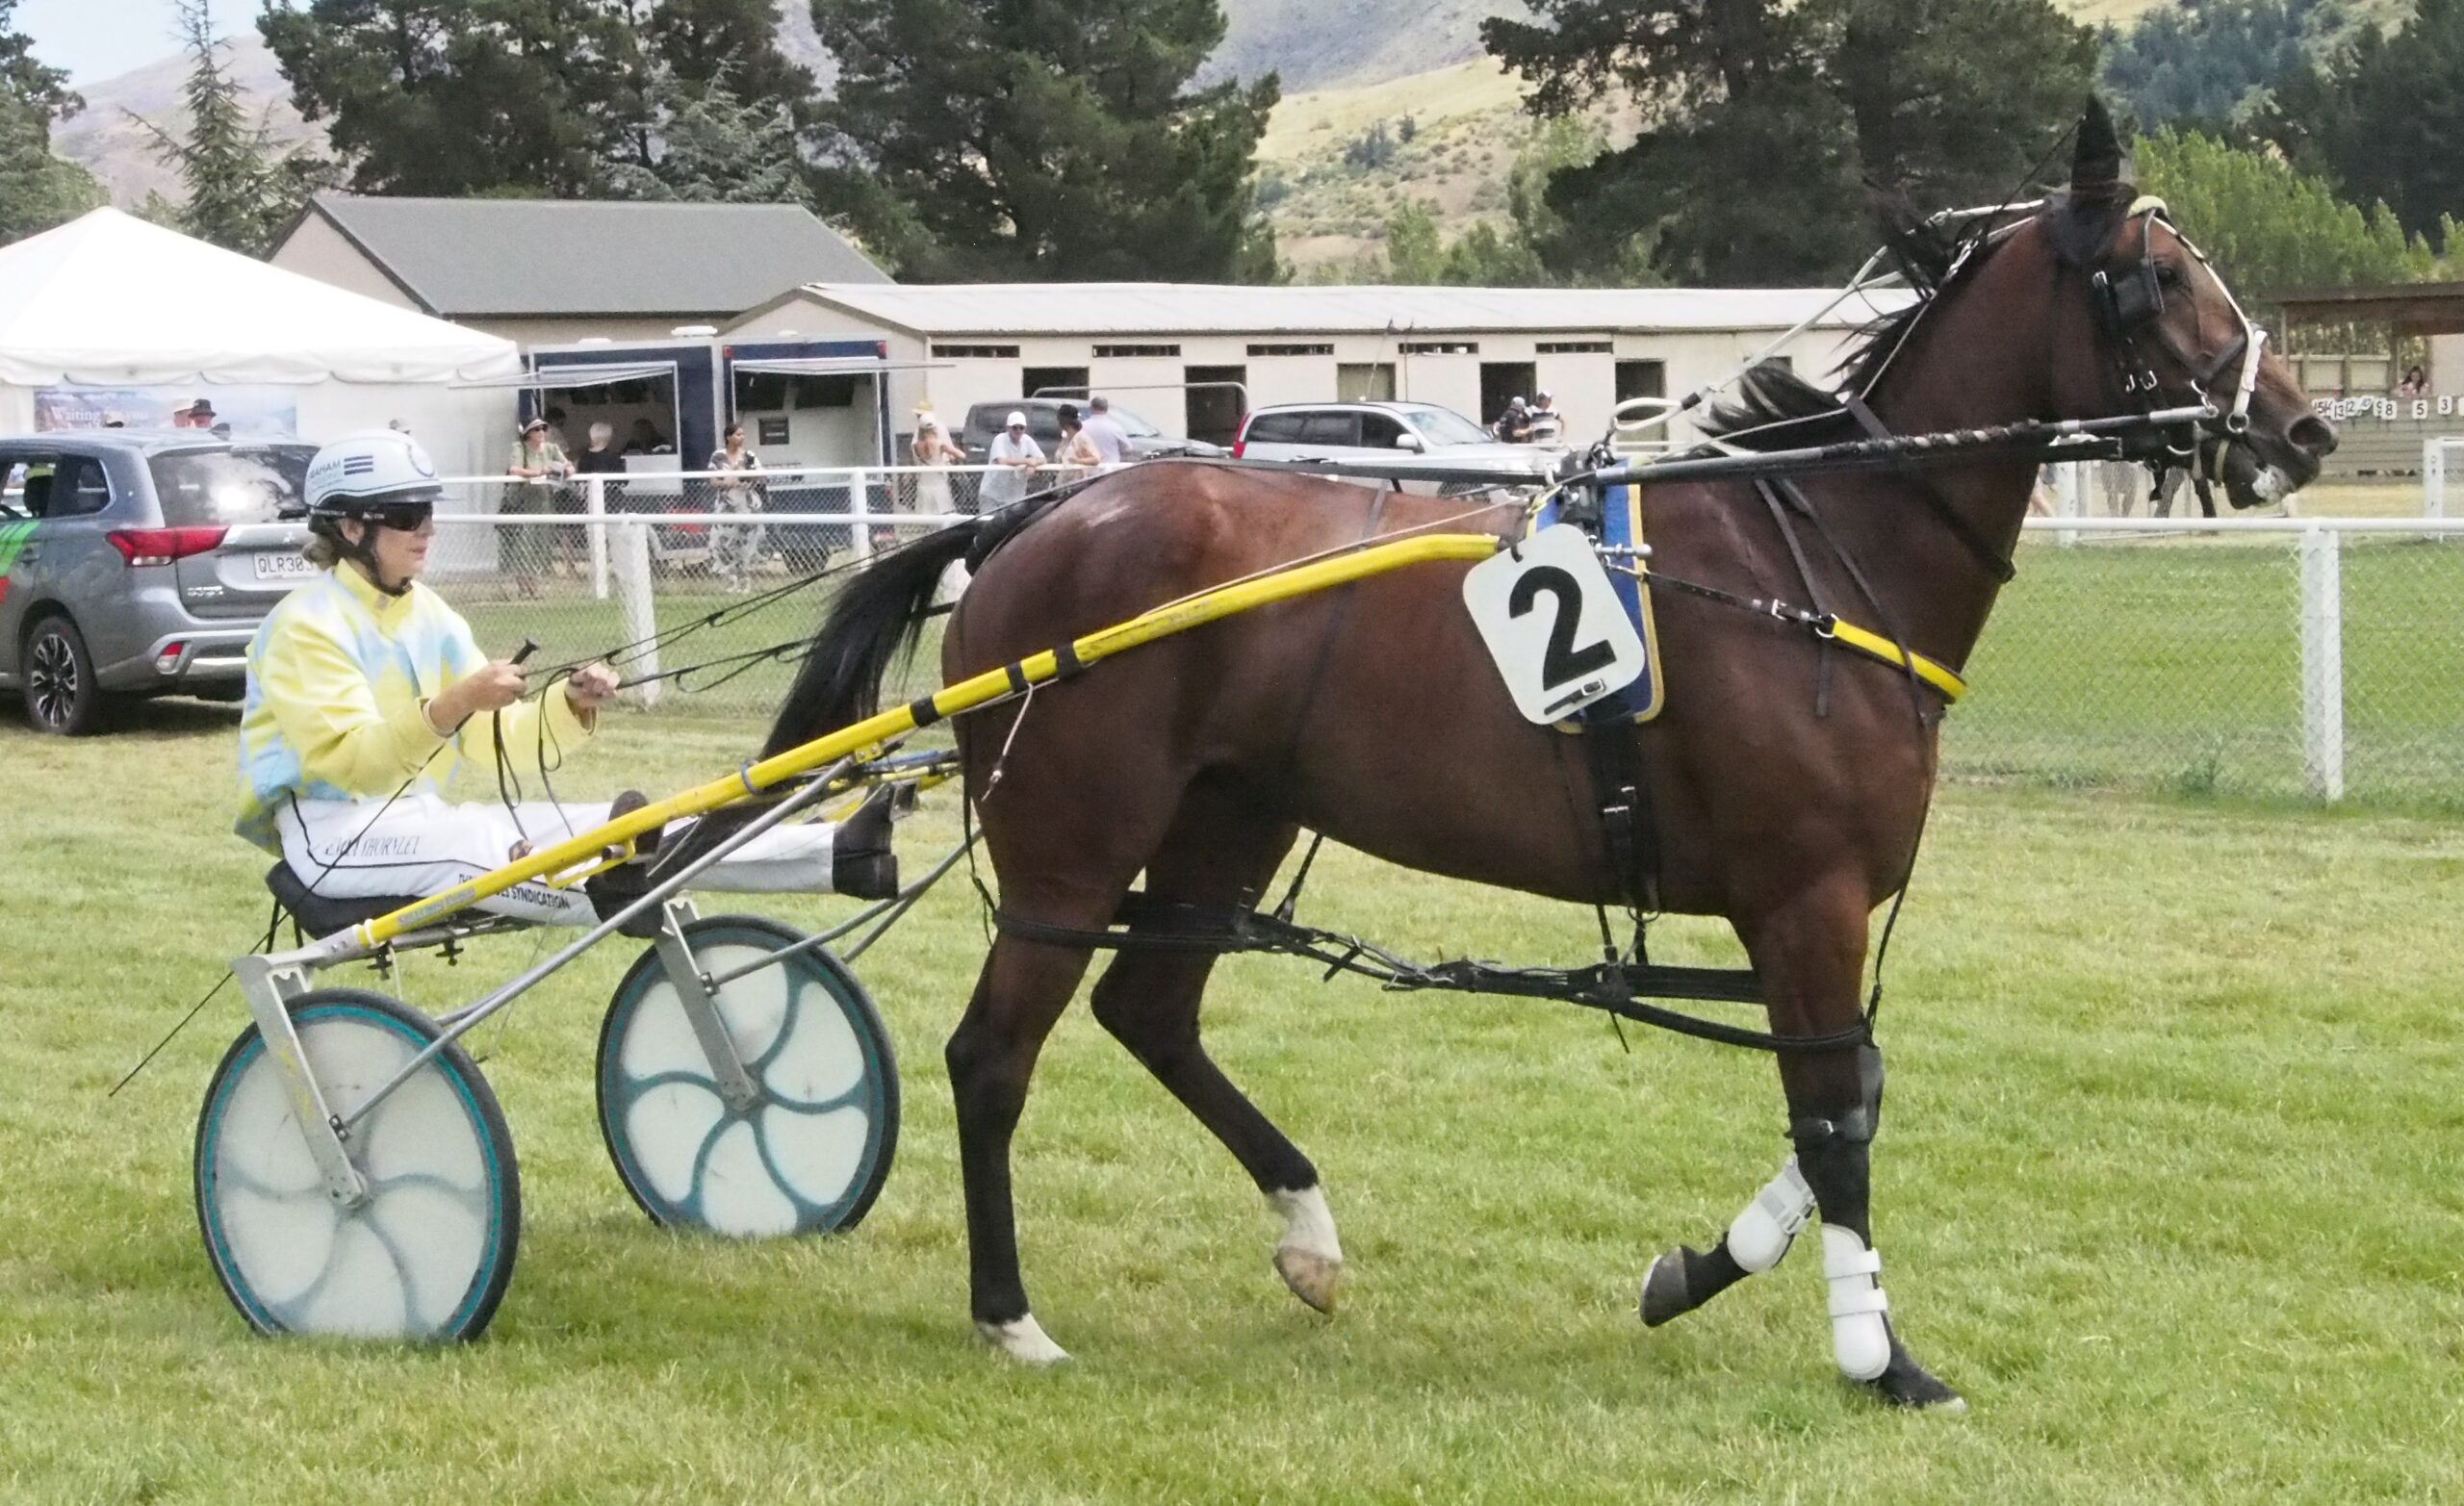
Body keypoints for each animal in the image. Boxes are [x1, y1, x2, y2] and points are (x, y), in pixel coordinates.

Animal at [755, 104, 2334, 1409]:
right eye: (2161, 279)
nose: (2304, 427)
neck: (1811, 549)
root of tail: (1026, 520)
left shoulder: (1801, 915)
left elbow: (1848, 1101)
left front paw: (1694, 1270)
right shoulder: (1804, 898)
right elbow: (1835, 1126)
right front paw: (1881, 1358)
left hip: (1228, 818)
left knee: (1151, 1010)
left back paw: (1306, 1230)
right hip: (1071, 850)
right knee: (990, 1056)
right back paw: (1009, 1311)